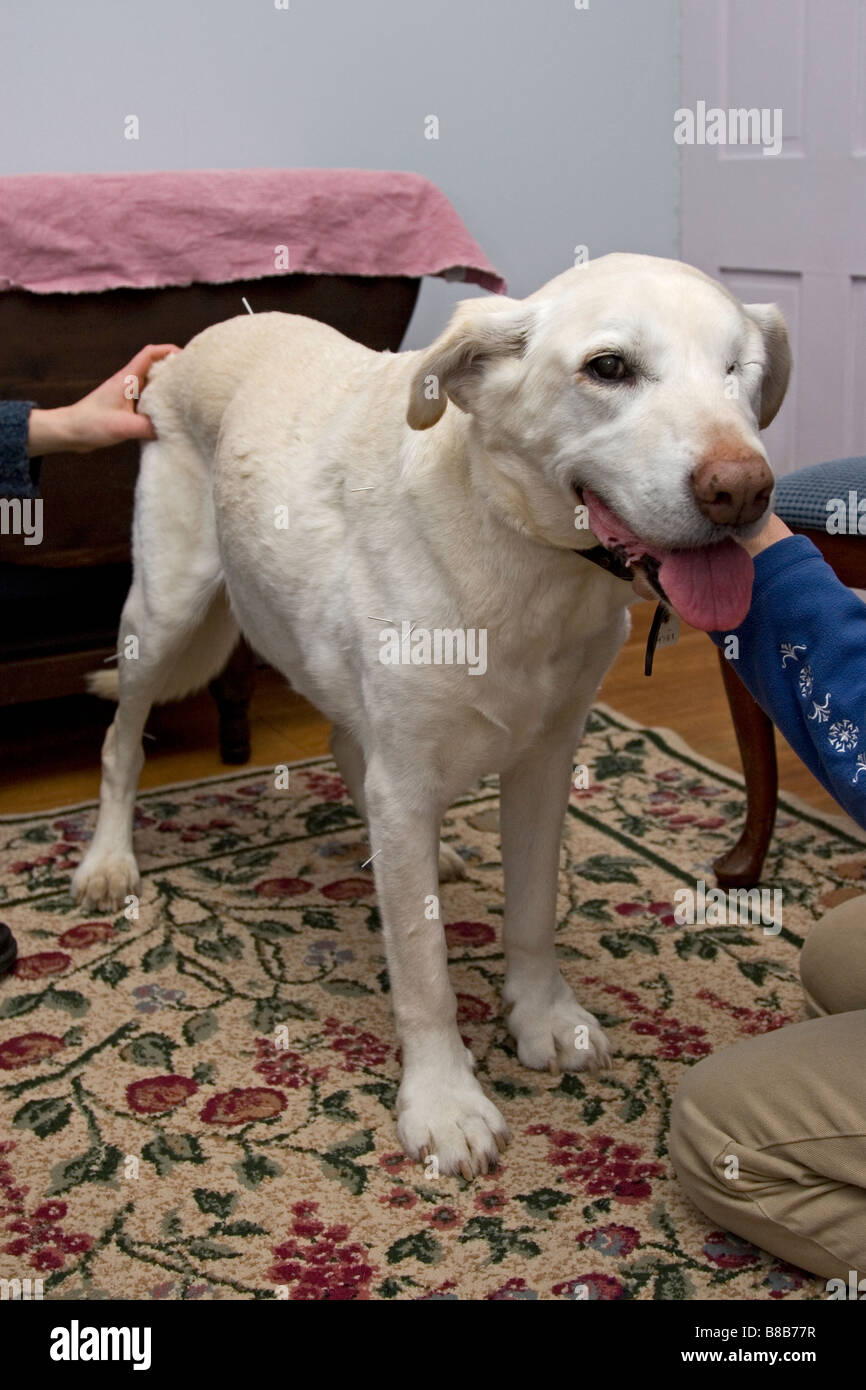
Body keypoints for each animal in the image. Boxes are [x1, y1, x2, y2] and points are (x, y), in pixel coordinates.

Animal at [76, 258, 795, 1173]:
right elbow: (424, 970)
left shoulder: (546, 761)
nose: (743, 490)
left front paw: (542, 1017)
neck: (523, 555)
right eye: (608, 368)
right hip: (163, 616)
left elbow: (531, 913)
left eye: (741, 370)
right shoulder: (408, 778)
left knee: (346, 743)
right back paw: (108, 861)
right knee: (120, 742)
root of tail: (198, 342)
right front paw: (445, 1102)